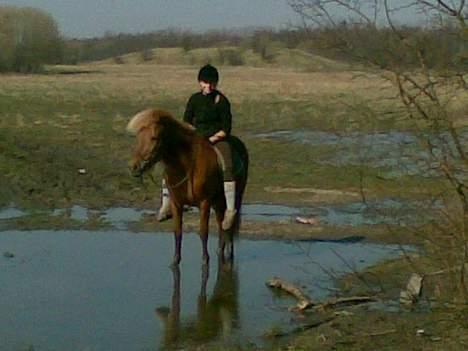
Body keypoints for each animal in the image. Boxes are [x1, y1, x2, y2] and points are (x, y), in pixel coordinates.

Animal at [124, 108, 249, 266]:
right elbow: (177, 232)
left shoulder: (204, 203)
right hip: (218, 201)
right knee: (221, 223)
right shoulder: (177, 203)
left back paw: (228, 251)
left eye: (154, 138)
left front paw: (205, 261)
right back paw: (220, 250)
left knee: (229, 223)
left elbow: (203, 232)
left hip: (235, 195)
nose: (134, 166)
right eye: (138, 137)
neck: (186, 166)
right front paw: (175, 261)